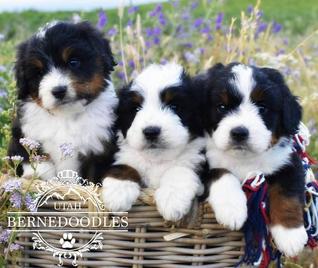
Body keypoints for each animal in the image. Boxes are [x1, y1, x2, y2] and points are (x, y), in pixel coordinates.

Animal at [8, 21, 118, 182]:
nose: (59, 91)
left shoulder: (99, 148)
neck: (66, 116)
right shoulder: (24, 135)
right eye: (39, 73)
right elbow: (36, 162)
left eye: (73, 62)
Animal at [102, 63, 206, 222]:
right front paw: (118, 192)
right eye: (136, 108)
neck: (157, 160)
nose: (151, 132)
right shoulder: (124, 154)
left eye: (174, 107)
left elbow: (179, 169)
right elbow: (124, 166)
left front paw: (172, 199)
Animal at [199, 62, 308, 258]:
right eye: (222, 107)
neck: (244, 159)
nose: (239, 132)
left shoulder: (287, 162)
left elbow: (287, 195)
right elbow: (222, 173)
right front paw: (232, 209)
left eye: (262, 108)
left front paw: (290, 235)